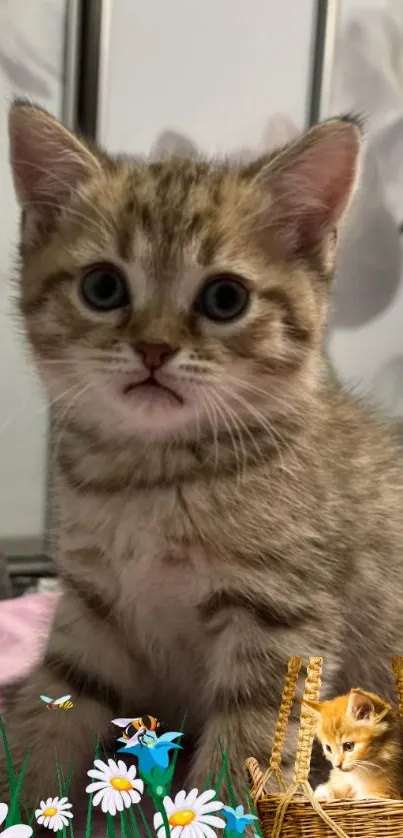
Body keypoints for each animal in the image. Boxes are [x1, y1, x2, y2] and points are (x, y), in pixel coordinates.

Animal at [2, 103, 403, 812]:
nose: (154, 349)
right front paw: (27, 804)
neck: (152, 476)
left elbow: (247, 752)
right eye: (102, 287)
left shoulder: (282, 623)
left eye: (225, 299)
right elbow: (53, 708)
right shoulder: (92, 606)